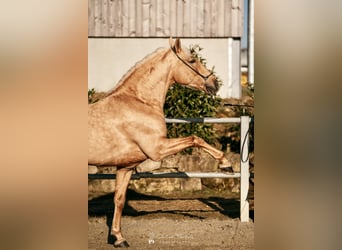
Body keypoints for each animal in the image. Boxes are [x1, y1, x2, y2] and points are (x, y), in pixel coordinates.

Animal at [89, 38, 230, 247]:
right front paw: (225, 163)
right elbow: (195, 139)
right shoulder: (157, 149)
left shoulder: (125, 167)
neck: (140, 102)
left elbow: (119, 200)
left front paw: (119, 238)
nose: (215, 84)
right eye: (192, 60)